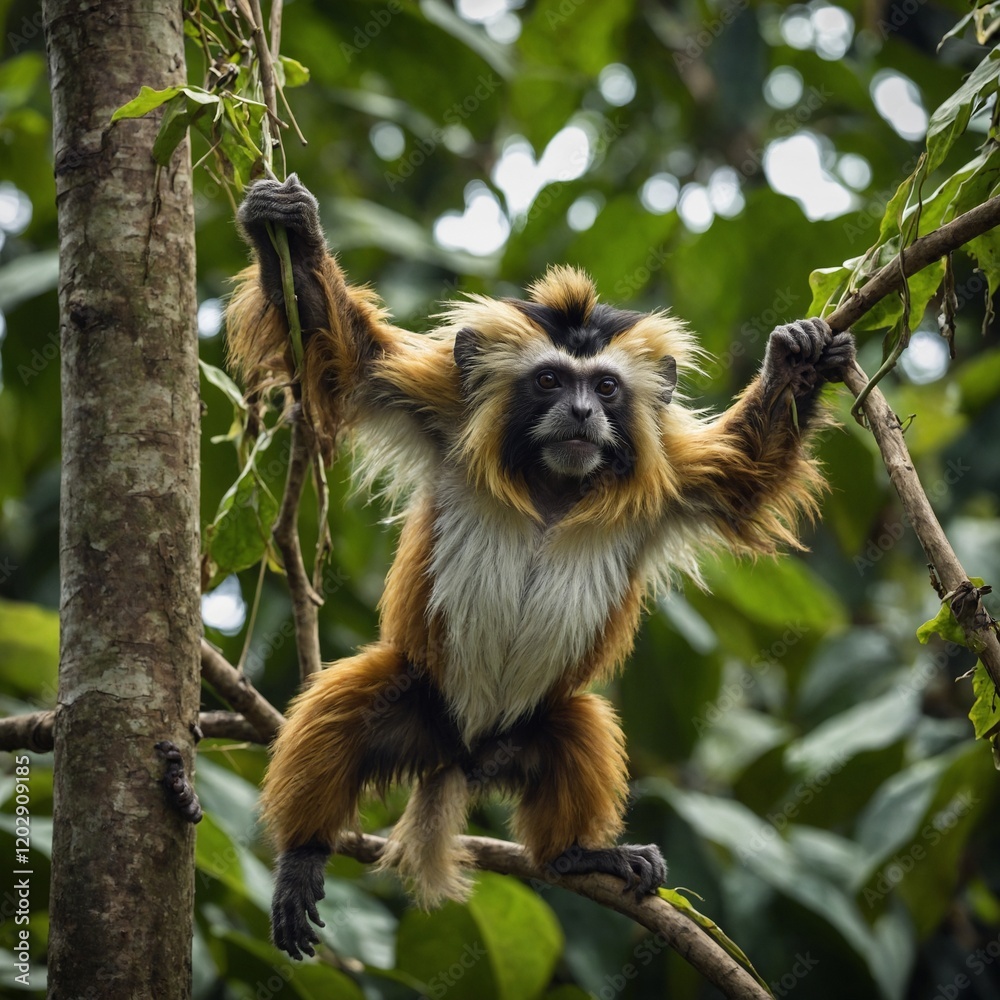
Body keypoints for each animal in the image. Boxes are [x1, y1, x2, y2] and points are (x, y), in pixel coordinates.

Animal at [226, 174, 855, 960]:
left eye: (606, 389)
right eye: (552, 382)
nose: (583, 413)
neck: (556, 485)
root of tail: (465, 753)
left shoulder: (670, 472)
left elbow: (744, 479)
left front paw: (796, 365)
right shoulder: (439, 410)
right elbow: (341, 352)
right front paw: (289, 233)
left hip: (530, 725)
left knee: (581, 720)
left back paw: (578, 854)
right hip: (421, 698)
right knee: (348, 695)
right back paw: (303, 851)